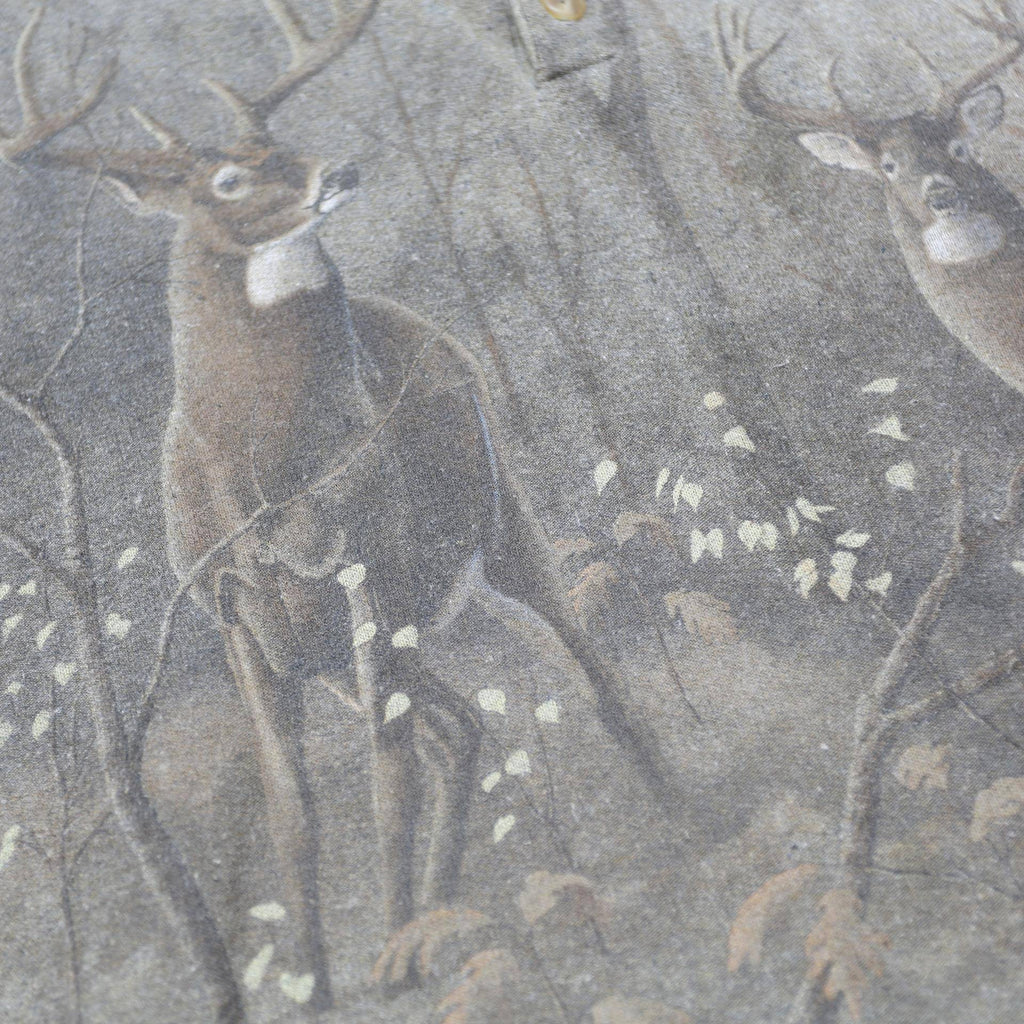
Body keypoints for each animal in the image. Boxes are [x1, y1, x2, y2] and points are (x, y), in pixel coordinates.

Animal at [0, 0, 682, 1011]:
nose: (341, 171)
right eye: (230, 177)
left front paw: (390, 957)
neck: (268, 480)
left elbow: (384, 777)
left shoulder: (374, 567)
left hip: (494, 533)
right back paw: (442, 912)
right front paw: (314, 982)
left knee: (581, 667)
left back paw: (686, 816)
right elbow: (293, 805)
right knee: (460, 728)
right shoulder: (233, 608)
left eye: (280, 139)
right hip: (321, 647)